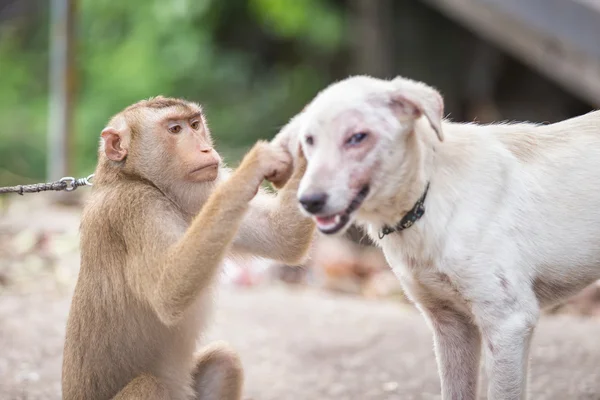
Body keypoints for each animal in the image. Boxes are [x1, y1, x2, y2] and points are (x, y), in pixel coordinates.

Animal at [61, 97, 316, 400]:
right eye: (174, 129)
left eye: (195, 125)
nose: (206, 148)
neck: (134, 177)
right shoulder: (133, 207)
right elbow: (168, 292)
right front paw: (251, 168)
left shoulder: (202, 193)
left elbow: (284, 236)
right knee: (149, 385)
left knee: (224, 360)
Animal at [274, 76, 600, 400]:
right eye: (310, 141)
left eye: (358, 137)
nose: (309, 201)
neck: (427, 197)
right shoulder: (450, 324)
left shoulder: (509, 322)